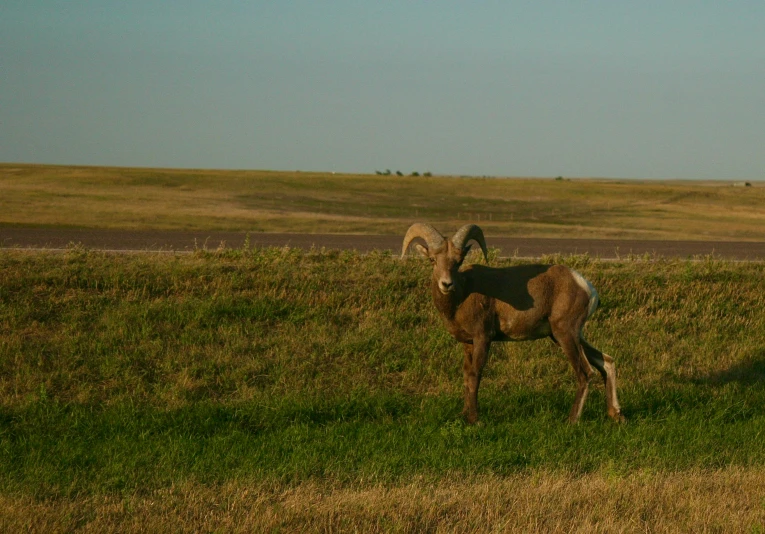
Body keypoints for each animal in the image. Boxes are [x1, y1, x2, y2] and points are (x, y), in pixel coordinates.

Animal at [400, 224, 620, 426]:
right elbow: (466, 375)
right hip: (569, 336)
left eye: (458, 261)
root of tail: (586, 287)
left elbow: (475, 375)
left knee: (585, 372)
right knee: (606, 362)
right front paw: (464, 415)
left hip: (565, 334)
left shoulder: (483, 339)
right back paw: (616, 415)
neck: (462, 296)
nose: (446, 284)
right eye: (432, 260)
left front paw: (474, 420)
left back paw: (572, 420)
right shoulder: (468, 344)